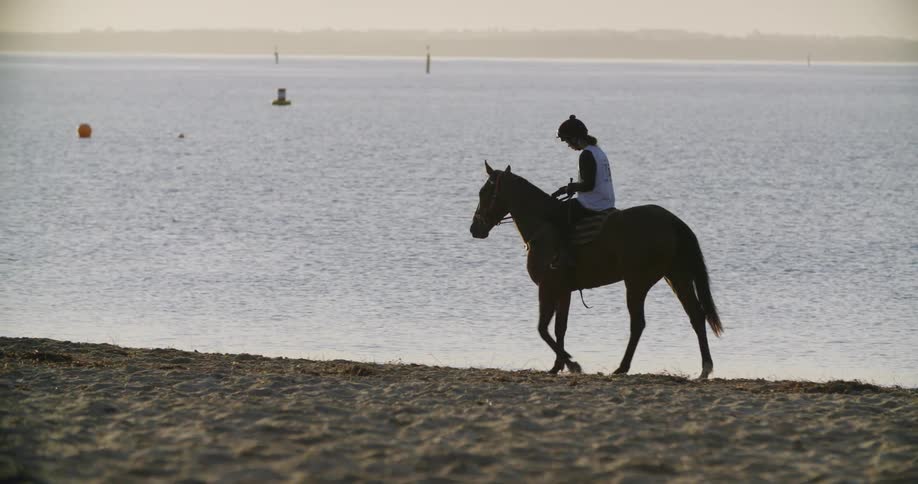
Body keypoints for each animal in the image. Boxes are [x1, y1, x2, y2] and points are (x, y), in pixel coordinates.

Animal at [469, 162, 723, 379]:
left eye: (485, 192)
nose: (474, 228)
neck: (544, 226)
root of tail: (672, 220)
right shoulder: (563, 291)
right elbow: (560, 328)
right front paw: (558, 365)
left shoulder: (547, 287)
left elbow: (543, 329)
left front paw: (572, 364)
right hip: (676, 277)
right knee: (696, 315)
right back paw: (705, 368)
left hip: (637, 282)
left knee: (638, 323)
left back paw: (622, 367)